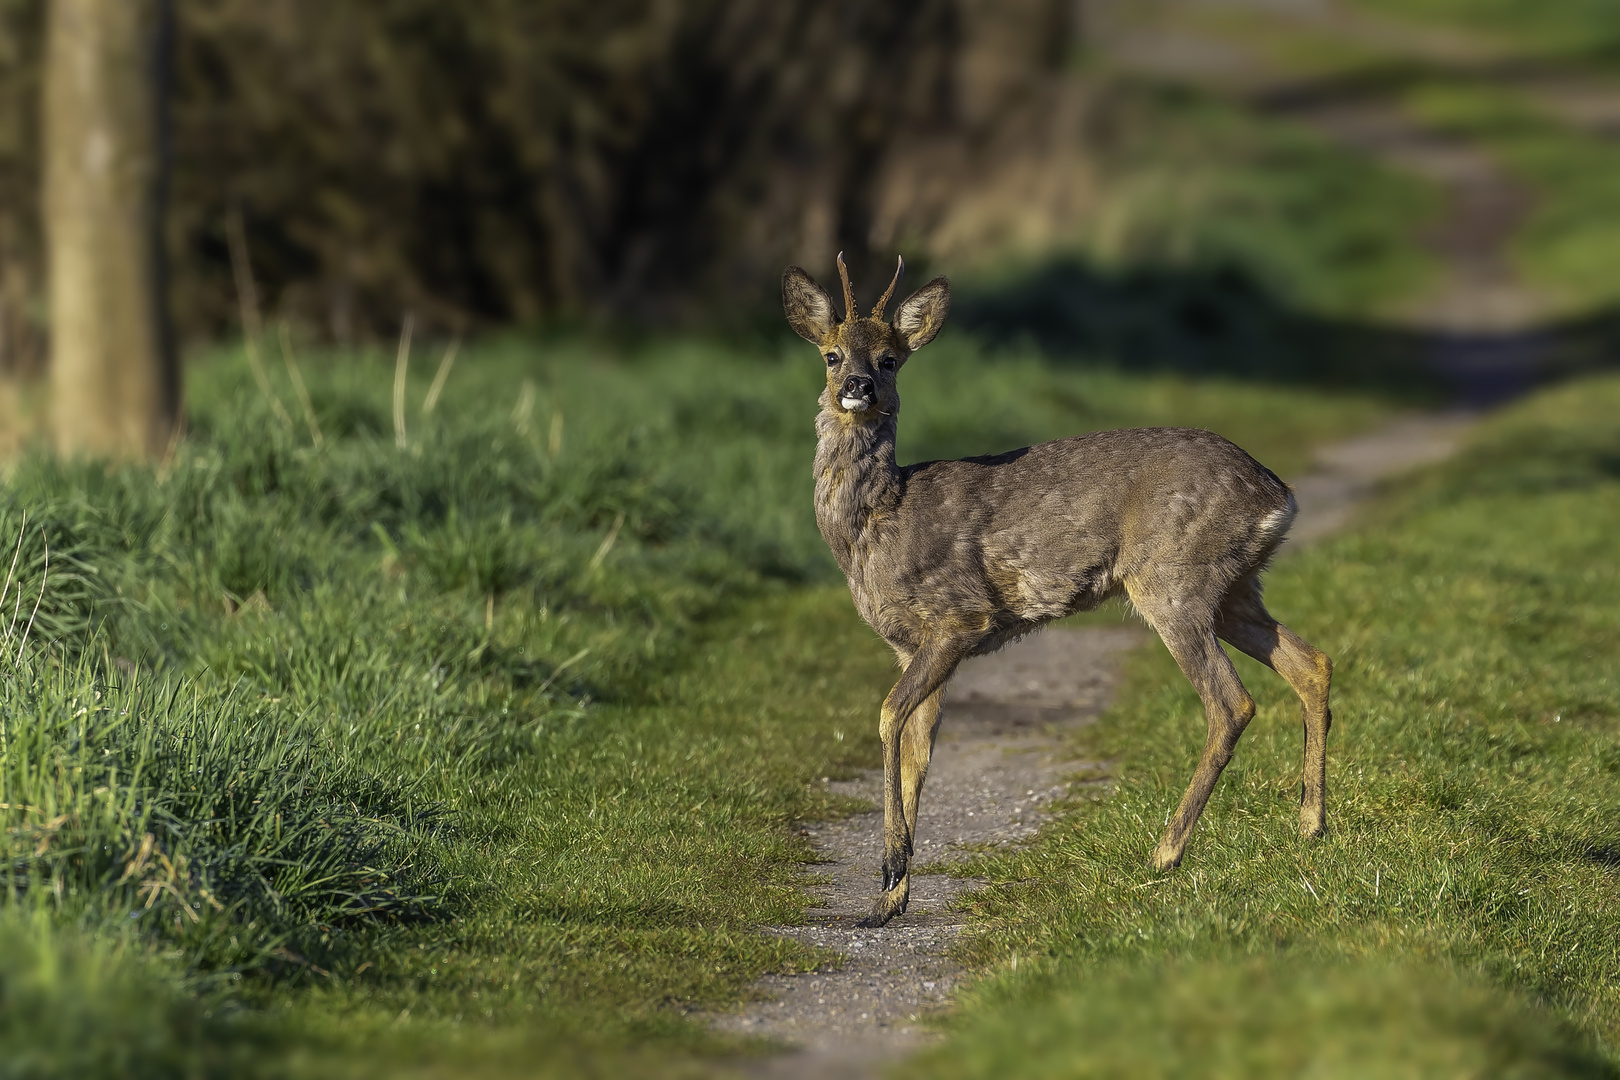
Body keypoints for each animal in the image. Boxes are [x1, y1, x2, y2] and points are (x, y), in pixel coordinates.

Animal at [784, 255, 1328, 932]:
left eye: (888, 358)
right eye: (831, 354)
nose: (857, 386)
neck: (878, 521)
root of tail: (1278, 495)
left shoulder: (957, 616)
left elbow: (888, 718)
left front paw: (888, 873)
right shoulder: (911, 644)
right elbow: (917, 749)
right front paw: (889, 898)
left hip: (1174, 580)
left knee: (1232, 703)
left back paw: (1165, 853)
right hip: (1235, 588)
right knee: (1311, 662)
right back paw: (1310, 826)